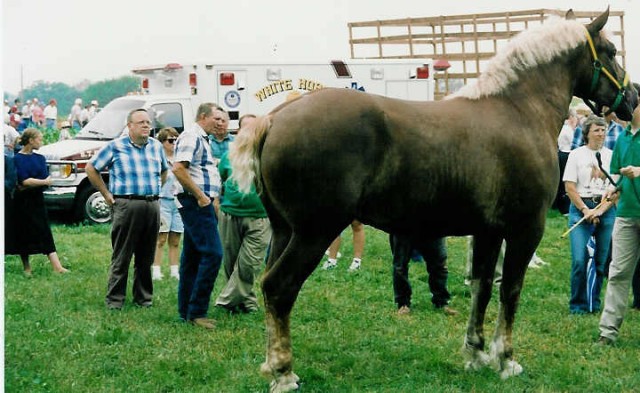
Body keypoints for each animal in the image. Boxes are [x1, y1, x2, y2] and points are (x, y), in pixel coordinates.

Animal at [230, 9, 636, 392]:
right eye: (611, 51)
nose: (632, 98)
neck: (517, 110)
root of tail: (274, 118)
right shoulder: (525, 230)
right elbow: (510, 291)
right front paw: (505, 360)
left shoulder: (488, 232)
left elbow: (481, 287)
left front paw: (475, 353)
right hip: (314, 233)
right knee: (280, 288)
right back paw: (284, 373)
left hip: (284, 232)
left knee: (269, 286)